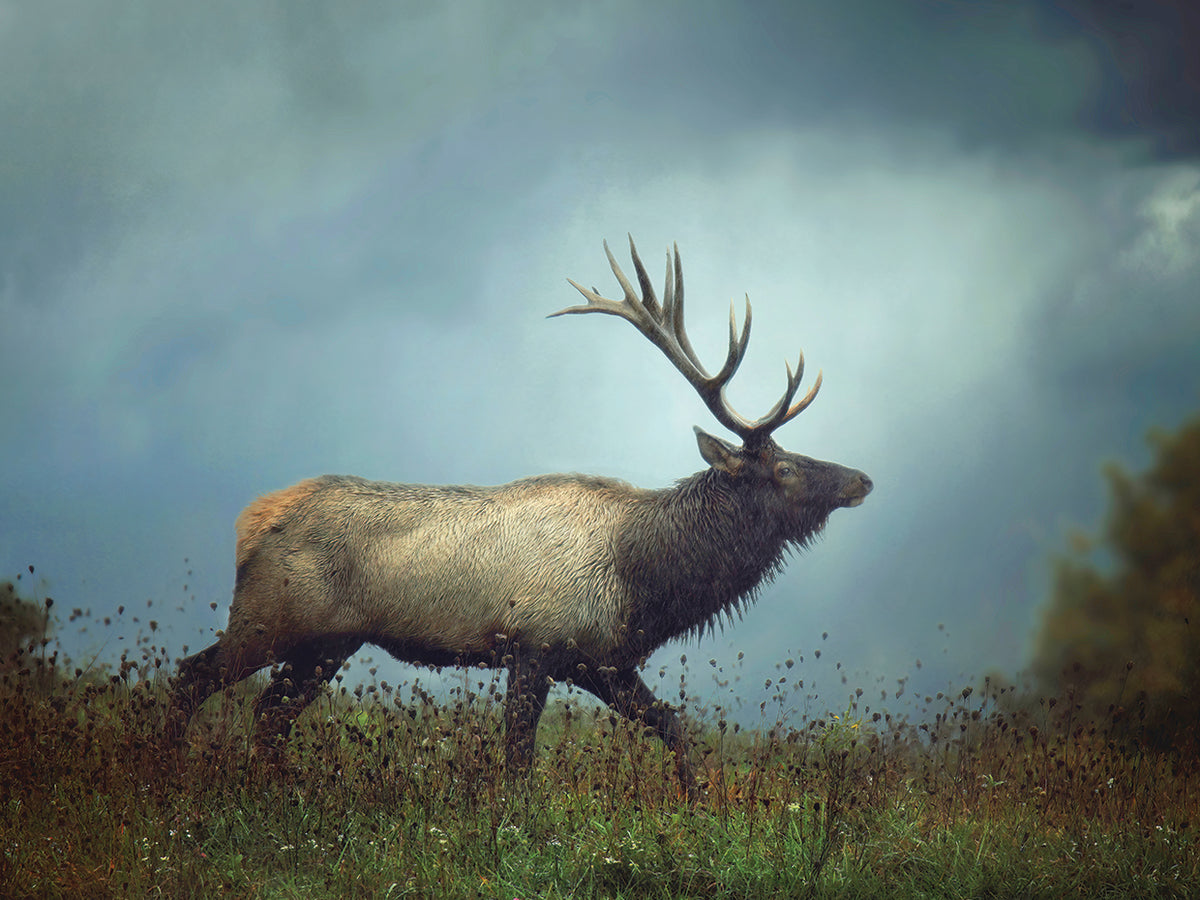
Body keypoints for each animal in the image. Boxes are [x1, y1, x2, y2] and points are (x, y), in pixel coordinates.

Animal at [166, 237, 872, 794]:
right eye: (783, 467)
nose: (862, 479)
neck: (643, 581)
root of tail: (249, 523)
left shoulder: (601, 661)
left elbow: (672, 724)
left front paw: (696, 803)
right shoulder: (536, 644)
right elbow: (517, 759)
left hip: (327, 642)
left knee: (268, 715)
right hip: (269, 617)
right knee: (190, 677)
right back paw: (164, 775)